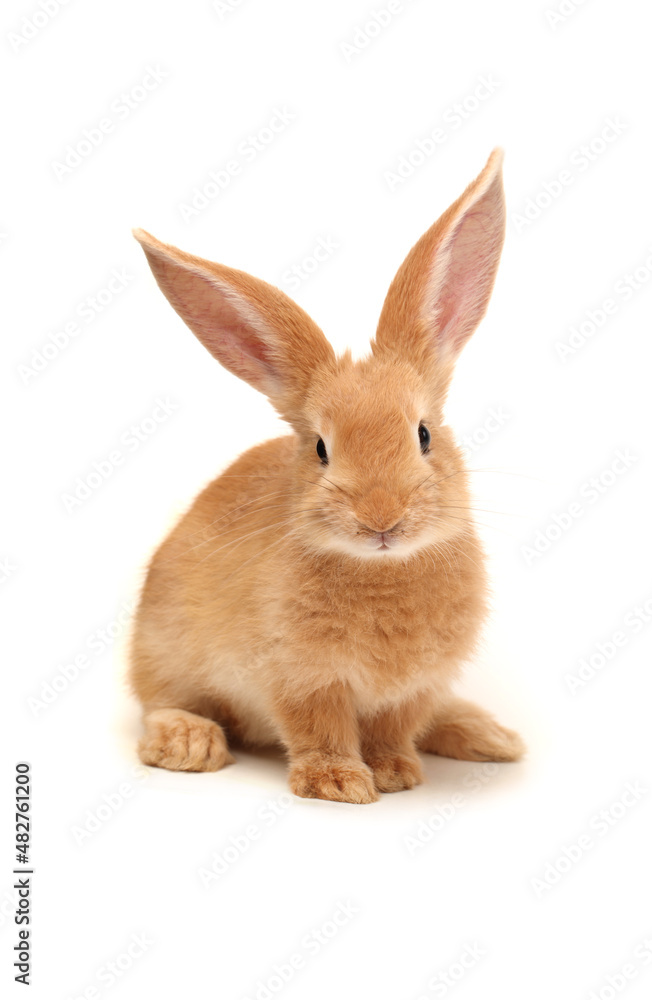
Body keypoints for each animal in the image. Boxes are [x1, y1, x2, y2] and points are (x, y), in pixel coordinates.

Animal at [129, 148, 524, 804]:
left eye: (423, 435)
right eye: (320, 448)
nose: (381, 518)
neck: (383, 571)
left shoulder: (413, 688)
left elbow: (395, 728)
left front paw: (395, 774)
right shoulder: (299, 678)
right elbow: (320, 728)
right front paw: (340, 784)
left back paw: (490, 736)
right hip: (163, 649)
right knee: (160, 702)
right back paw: (189, 743)